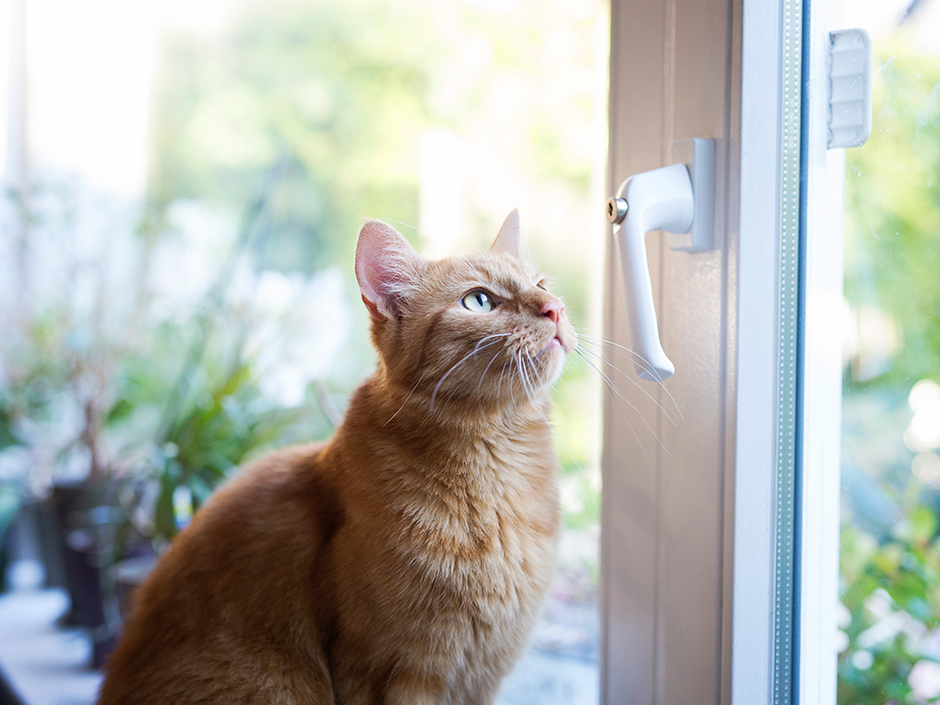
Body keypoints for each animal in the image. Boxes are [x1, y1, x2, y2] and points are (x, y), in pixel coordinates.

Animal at [99, 213, 576, 704]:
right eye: (479, 300)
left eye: (541, 284)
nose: (555, 308)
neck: (498, 483)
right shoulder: (386, 671)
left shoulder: (480, 678)